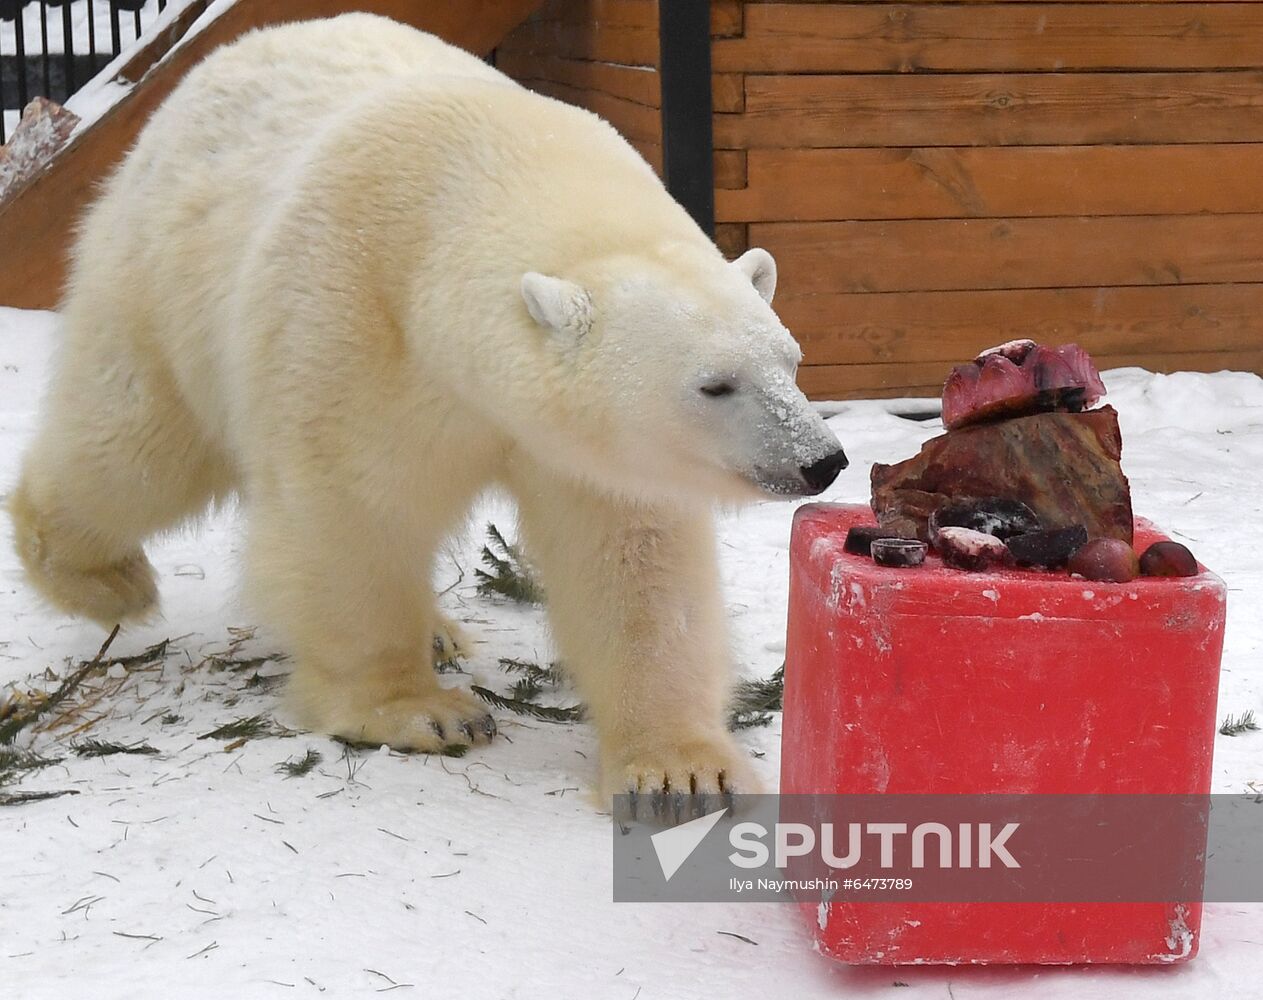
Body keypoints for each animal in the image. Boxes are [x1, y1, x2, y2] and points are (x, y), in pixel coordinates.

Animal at [9, 13, 848, 803]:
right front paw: (421, 712)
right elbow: (352, 515)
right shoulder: (351, 323)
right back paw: (106, 578)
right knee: (134, 445)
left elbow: (631, 555)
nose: (822, 461)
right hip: (162, 281)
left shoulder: (584, 445)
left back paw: (439, 632)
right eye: (714, 384)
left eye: (790, 360)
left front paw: (679, 770)